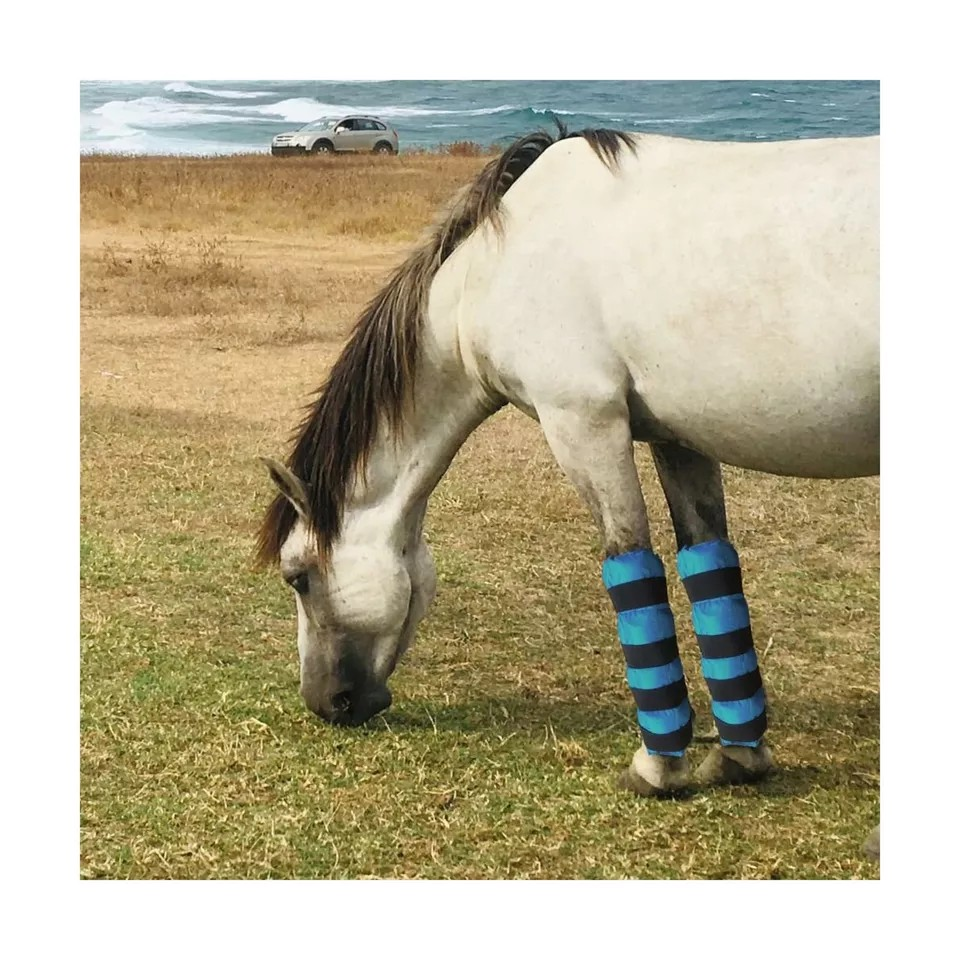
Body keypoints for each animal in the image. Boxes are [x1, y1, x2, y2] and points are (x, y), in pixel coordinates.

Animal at [256, 124, 879, 856]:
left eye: (298, 577)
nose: (326, 703)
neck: (492, 266)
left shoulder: (584, 424)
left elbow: (632, 569)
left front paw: (659, 769)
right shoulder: (680, 438)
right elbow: (711, 569)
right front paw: (738, 758)